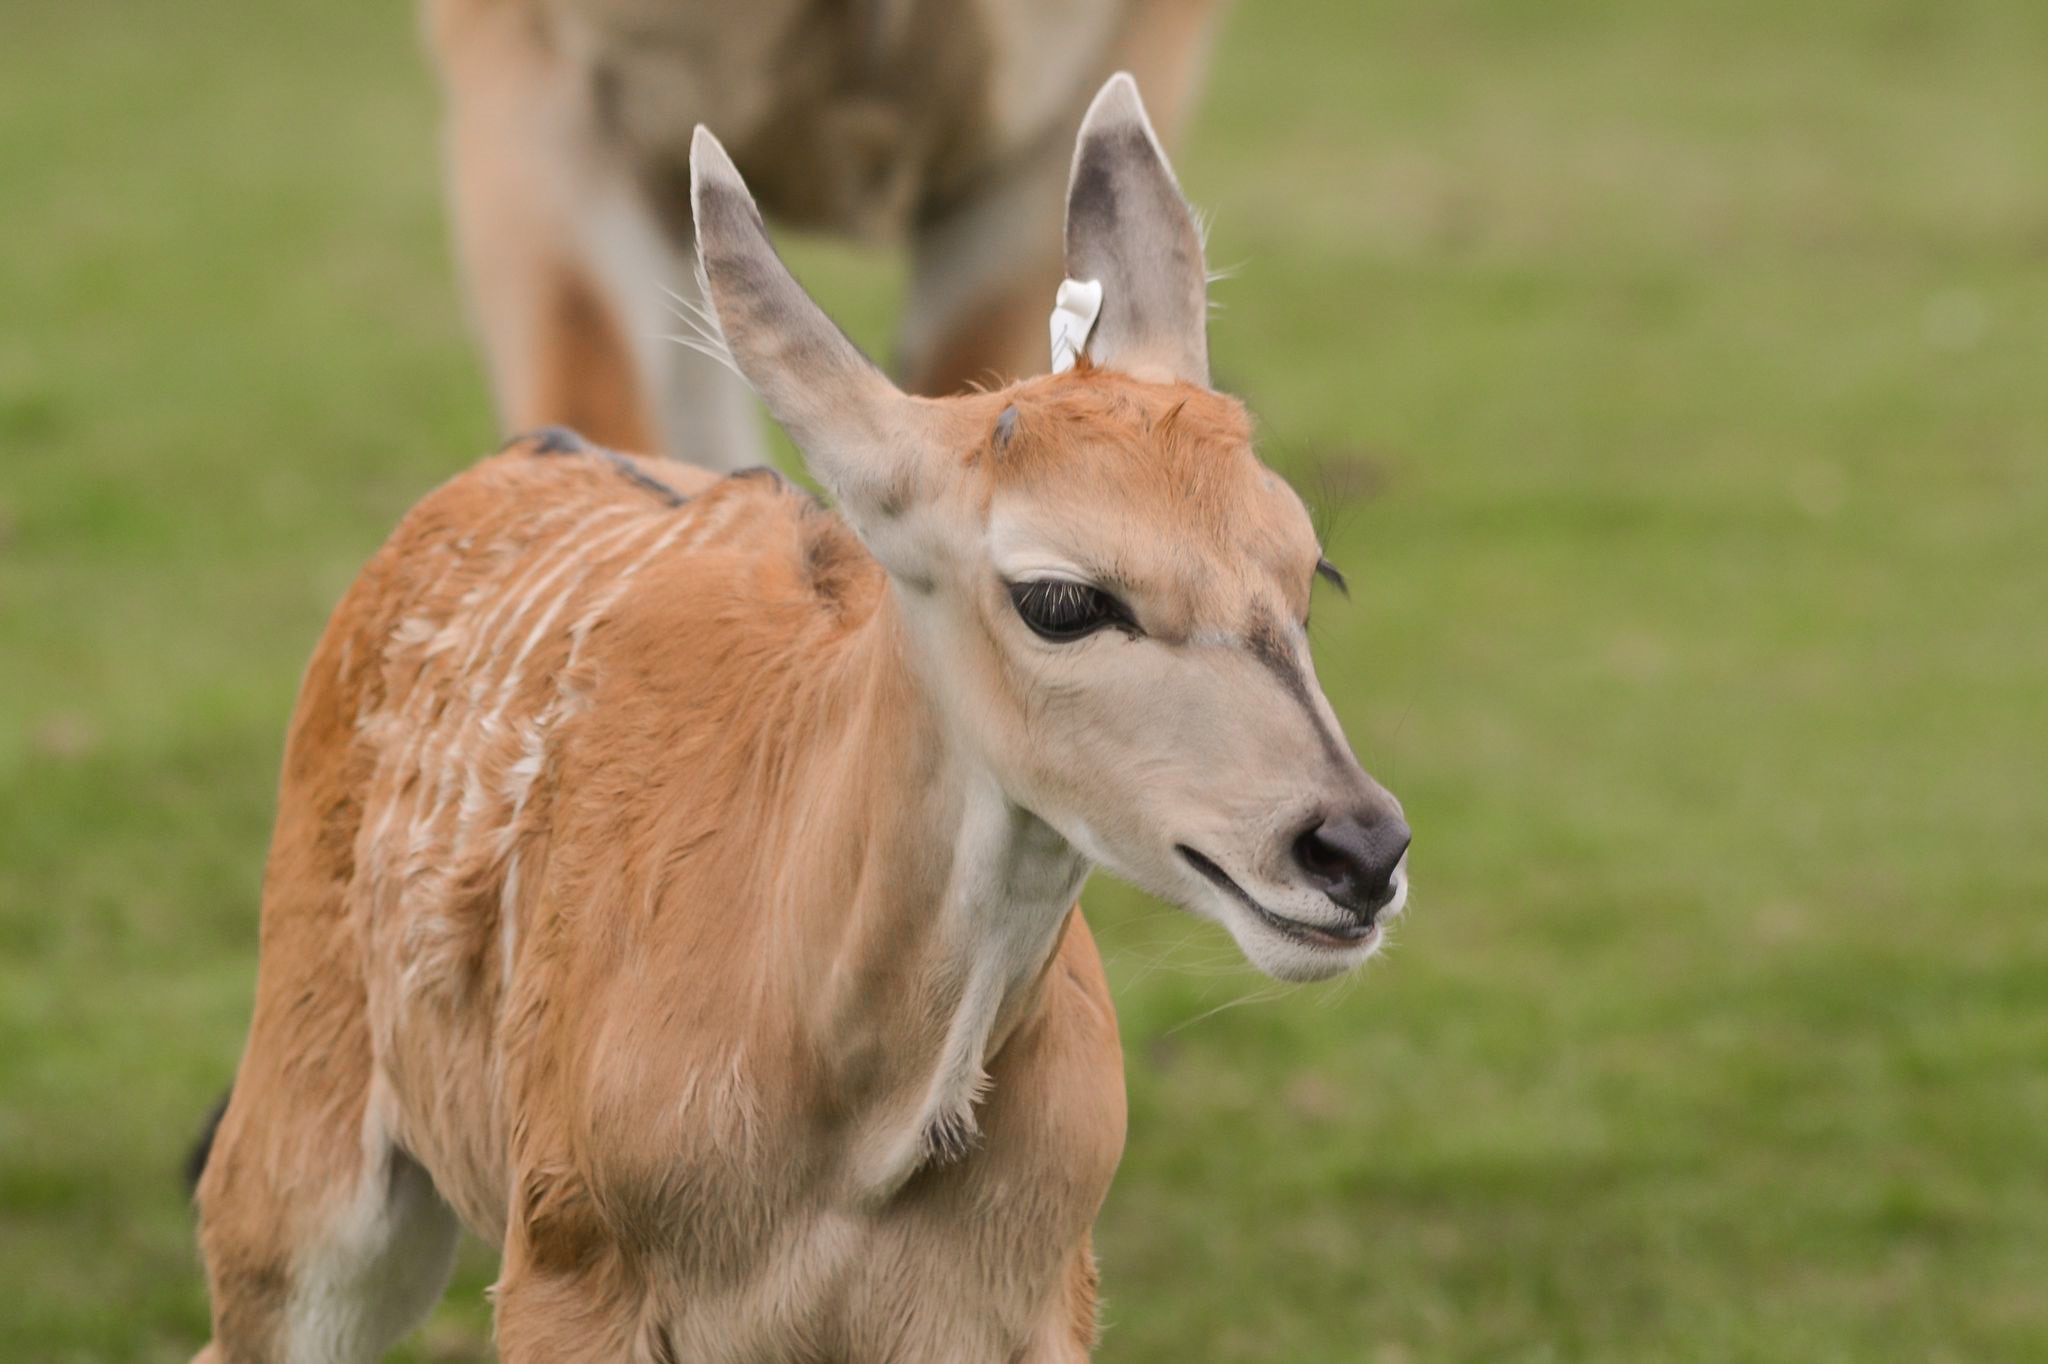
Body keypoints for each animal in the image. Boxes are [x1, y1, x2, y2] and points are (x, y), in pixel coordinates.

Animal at [192, 71, 1409, 1359]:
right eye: (1063, 597)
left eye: (1312, 569)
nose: (1355, 849)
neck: (856, 1127)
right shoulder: (566, 1268)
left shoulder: (1030, 1305)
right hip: (300, 1190)